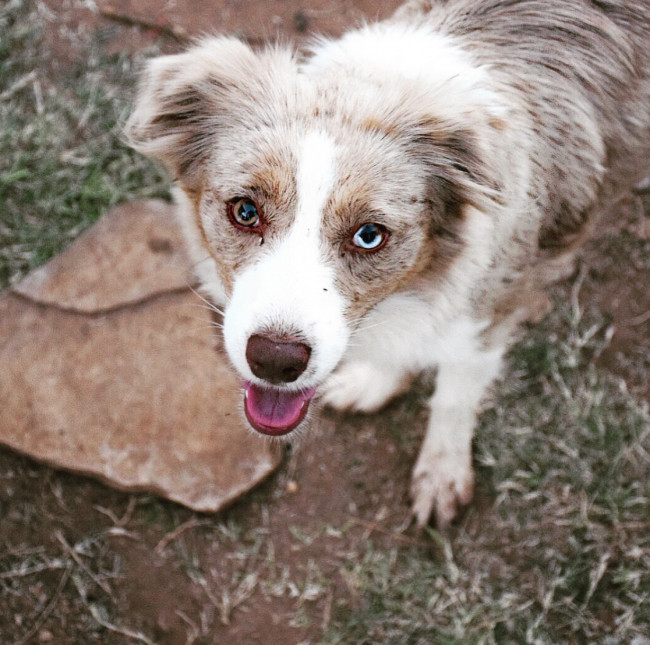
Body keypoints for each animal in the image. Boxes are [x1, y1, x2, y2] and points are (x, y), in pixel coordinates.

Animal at [125, 1, 648, 528]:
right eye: (245, 211)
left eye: (369, 236)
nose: (274, 360)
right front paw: (375, 383)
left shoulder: (488, 311)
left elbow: (454, 396)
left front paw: (442, 473)